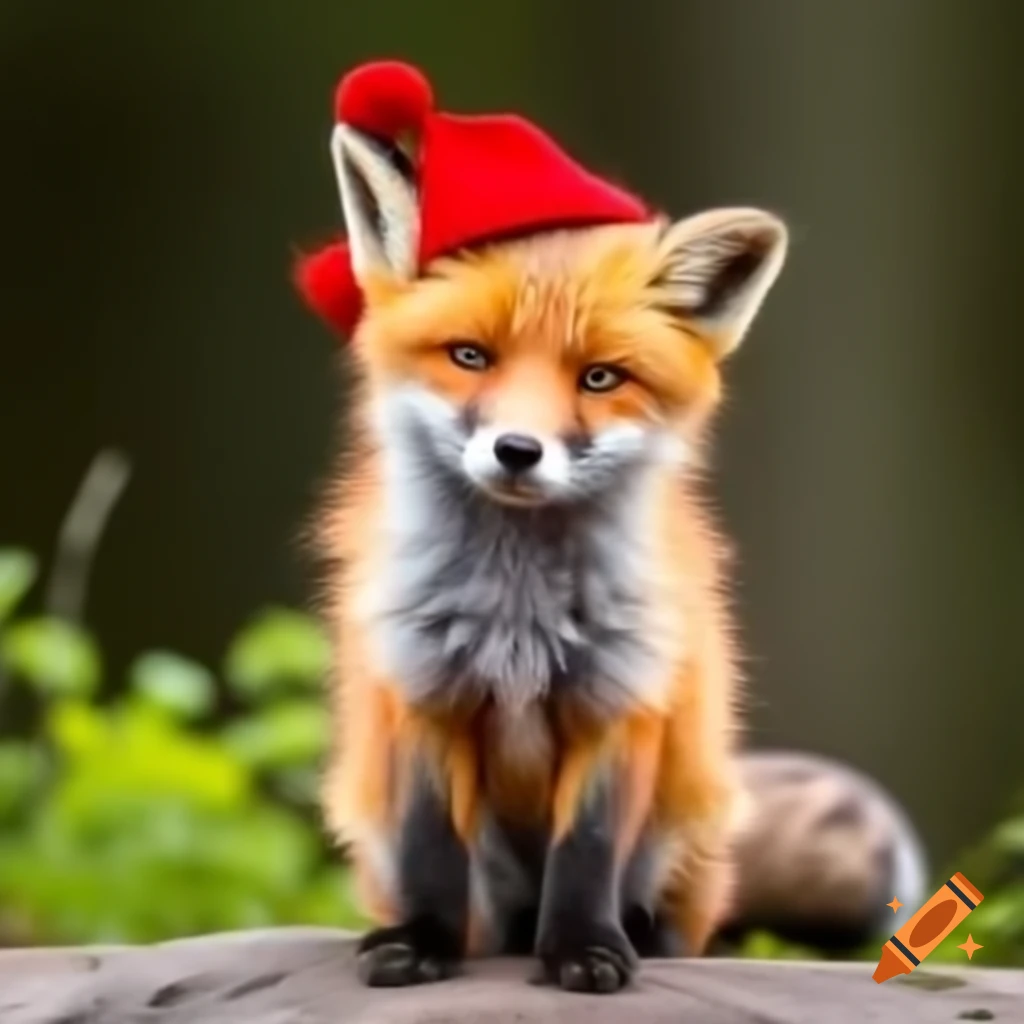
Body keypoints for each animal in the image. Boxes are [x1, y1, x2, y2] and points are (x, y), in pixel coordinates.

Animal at [306, 105, 789, 990]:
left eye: (600, 377)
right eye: (470, 356)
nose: (517, 451)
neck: (517, 619)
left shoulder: (618, 702)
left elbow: (585, 854)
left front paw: (583, 947)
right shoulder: (425, 694)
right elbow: (434, 849)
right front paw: (422, 942)